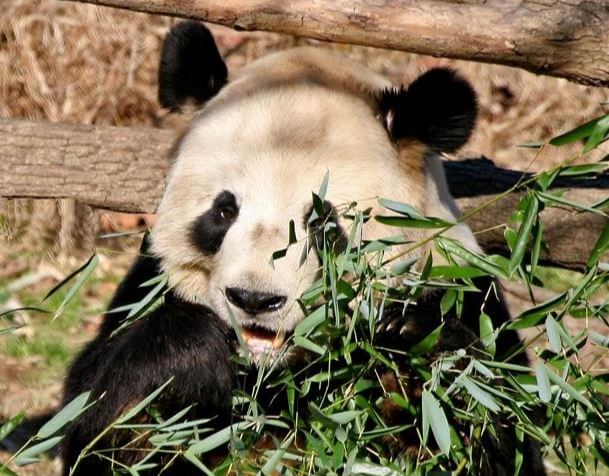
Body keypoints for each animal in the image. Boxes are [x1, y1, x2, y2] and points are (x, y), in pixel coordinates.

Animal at [60, 21, 548, 476]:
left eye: (322, 221)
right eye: (224, 211)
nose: (254, 299)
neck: (274, 371)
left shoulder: (464, 291)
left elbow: (493, 426)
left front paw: (411, 346)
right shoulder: (147, 286)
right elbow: (97, 424)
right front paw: (188, 361)